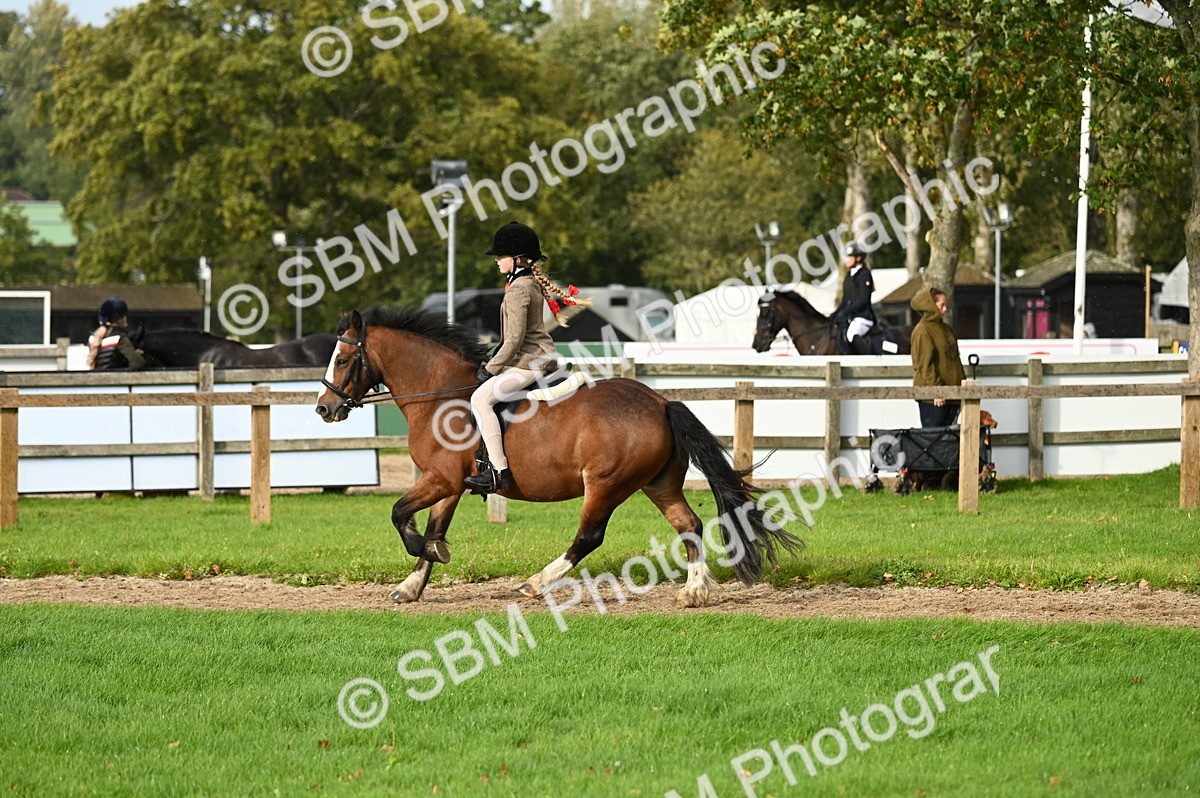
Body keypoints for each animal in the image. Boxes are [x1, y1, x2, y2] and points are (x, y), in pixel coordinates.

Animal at [315, 306, 804, 608]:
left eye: (341, 359)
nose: (324, 408)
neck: (439, 395)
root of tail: (661, 402)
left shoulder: (440, 479)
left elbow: (400, 514)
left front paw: (426, 552)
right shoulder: (448, 485)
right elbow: (434, 525)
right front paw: (412, 584)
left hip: (605, 485)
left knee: (588, 537)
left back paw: (535, 583)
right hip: (658, 483)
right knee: (690, 525)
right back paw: (695, 592)